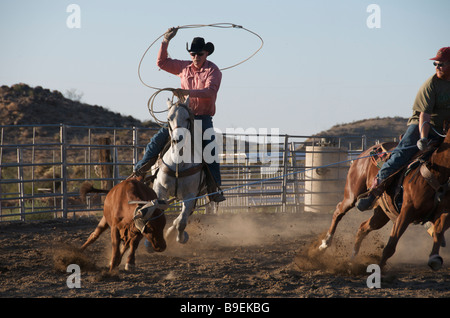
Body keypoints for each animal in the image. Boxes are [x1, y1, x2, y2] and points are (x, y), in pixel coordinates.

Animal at [152, 99, 207, 243]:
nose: (177, 140)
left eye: (187, 118)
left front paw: (179, 237)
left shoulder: (191, 194)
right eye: (168, 118)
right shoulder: (159, 187)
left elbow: (181, 221)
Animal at [318, 131, 448, 270]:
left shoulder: (444, 213)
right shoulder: (407, 211)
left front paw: (435, 257)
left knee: (363, 227)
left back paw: (352, 259)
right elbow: (391, 245)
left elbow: (438, 232)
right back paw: (325, 244)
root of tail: (364, 153)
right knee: (338, 211)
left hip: (382, 213)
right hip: (352, 195)